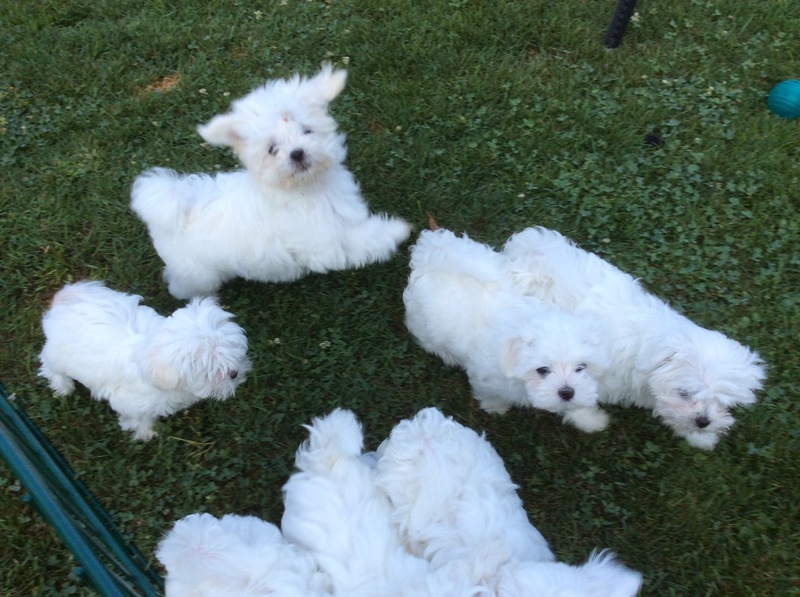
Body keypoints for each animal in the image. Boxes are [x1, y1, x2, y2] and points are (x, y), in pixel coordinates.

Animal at [38, 281, 250, 441]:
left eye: (234, 348)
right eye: (209, 369)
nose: (234, 373)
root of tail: (66, 301)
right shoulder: (130, 402)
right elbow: (140, 418)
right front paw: (145, 433)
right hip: (58, 356)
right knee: (48, 364)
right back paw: (63, 386)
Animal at [131, 63, 411, 299]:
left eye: (307, 131)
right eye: (272, 149)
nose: (297, 153)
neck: (307, 188)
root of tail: (174, 207)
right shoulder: (325, 243)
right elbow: (363, 240)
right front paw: (398, 230)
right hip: (197, 272)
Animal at [404, 227, 611, 433]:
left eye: (581, 367)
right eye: (542, 370)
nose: (567, 392)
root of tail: (429, 256)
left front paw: (589, 419)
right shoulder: (485, 378)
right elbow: (490, 394)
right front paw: (495, 407)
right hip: (424, 323)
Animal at [503, 226, 766, 449]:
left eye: (722, 401)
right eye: (684, 393)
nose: (703, 421)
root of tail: (531, 247)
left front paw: (701, 437)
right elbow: (573, 397)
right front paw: (589, 420)